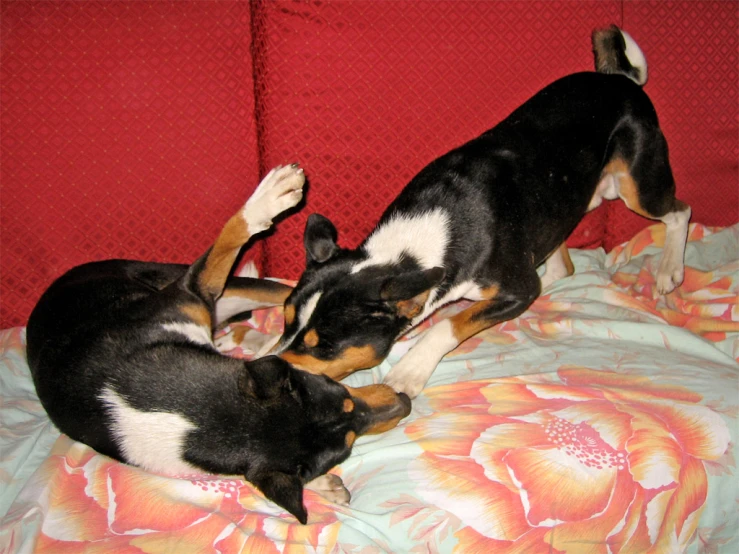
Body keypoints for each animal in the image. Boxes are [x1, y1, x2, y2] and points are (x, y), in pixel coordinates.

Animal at [26, 163, 414, 520]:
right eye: (347, 445)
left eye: (337, 388)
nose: (404, 403)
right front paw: (323, 485)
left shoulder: (188, 292)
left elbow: (228, 239)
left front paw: (270, 197)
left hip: (231, 288)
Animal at [276, 25, 692, 396]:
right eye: (284, 321)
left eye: (325, 347)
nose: (270, 371)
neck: (427, 232)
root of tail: (621, 78)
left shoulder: (517, 290)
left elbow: (448, 325)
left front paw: (410, 370)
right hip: (560, 202)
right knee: (560, 261)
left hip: (637, 187)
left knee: (679, 212)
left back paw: (669, 270)